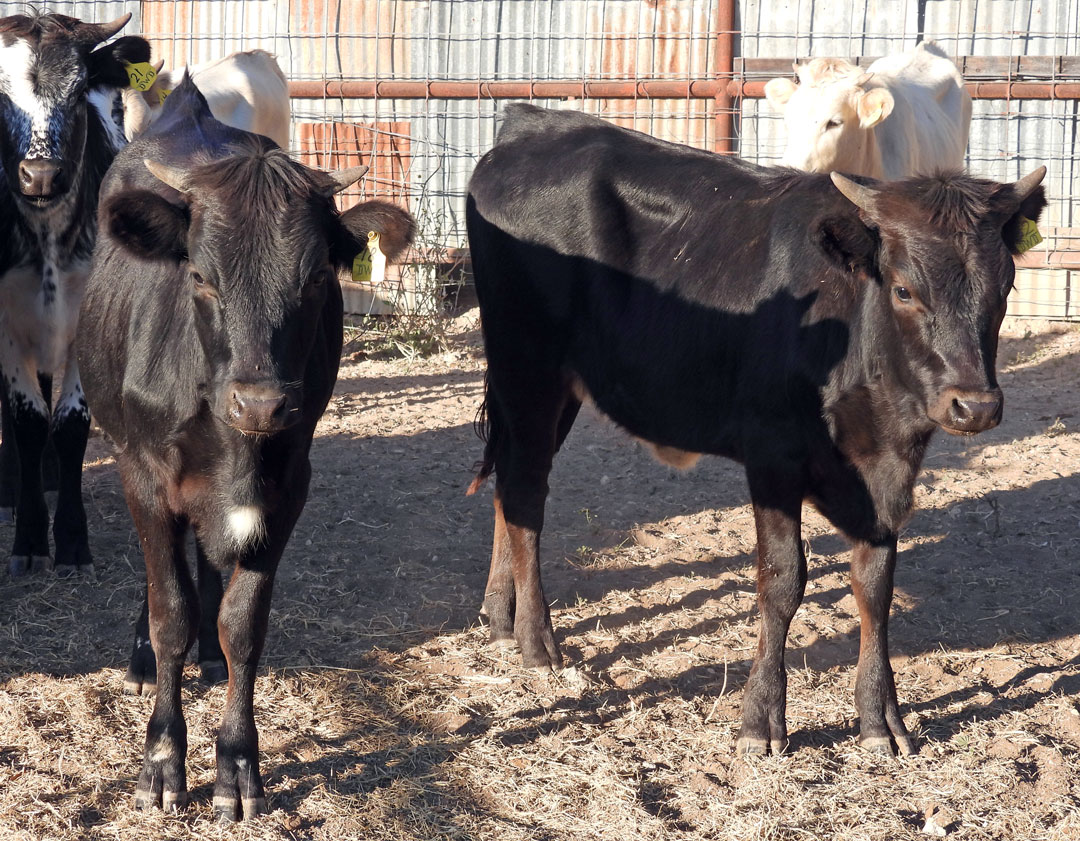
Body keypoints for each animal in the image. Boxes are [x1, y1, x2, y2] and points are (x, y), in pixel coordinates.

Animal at [0, 13, 152, 574]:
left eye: (80, 88)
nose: (41, 174)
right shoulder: (6, 322)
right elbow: (25, 419)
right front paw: (28, 539)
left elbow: (68, 425)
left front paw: (70, 541)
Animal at [78, 80, 414, 820]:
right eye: (201, 276)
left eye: (316, 277)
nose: (259, 404)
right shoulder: (143, 476)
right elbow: (167, 610)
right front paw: (163, 761)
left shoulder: (288, 486)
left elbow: (244, 624)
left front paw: (235, 764)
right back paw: (147, 662)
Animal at [466, 103, 1045, 755]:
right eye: (903, 289)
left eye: (1005, 287)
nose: (975, 406)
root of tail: (531, 123)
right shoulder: (773, 456)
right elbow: (782, 579)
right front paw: (762, 718)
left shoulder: (887, 476)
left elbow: (875, 586)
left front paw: (881, 718)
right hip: (528, 367)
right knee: (525, 490)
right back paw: (536, 641)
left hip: (553, 383)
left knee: (510, 478)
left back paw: (500, 617)